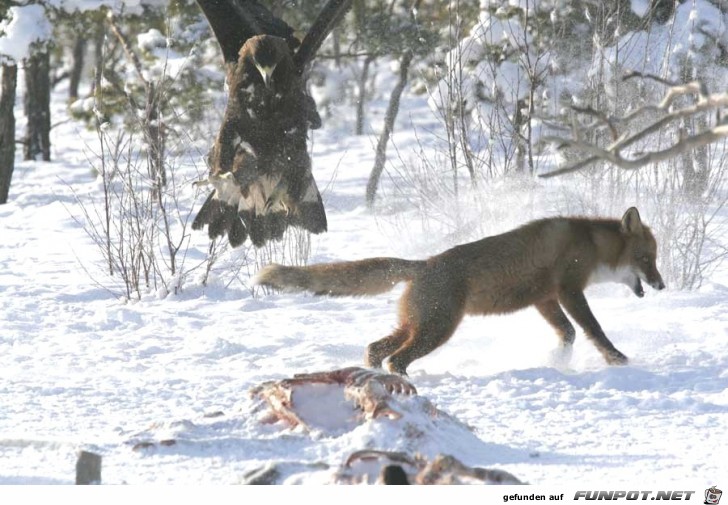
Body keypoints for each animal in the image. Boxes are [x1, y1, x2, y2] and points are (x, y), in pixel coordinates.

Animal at [256, 206, 664, 374]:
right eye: (647, 259)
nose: (661, 284)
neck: (591, 245)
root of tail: (422, 264)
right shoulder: (568, 290)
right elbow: (593, 330)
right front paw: (617, 360)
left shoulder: (544, 298)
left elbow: (567, 334)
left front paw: (557, 361)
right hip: (438, 330)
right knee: (396, 359)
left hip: (415, 326)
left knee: (375, 349)